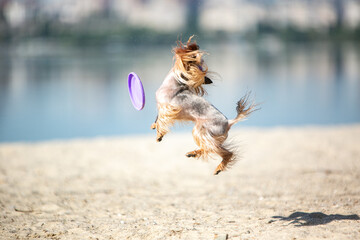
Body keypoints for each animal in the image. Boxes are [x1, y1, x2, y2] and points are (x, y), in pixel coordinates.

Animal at [150, 36, 258, 174]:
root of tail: (229, 122)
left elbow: (161, 120)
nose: (207, 79)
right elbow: (157, 118)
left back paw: (215, 165)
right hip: (210, 135)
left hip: (201, 130)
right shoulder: (163, 108)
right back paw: (195, 154)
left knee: (222, 151)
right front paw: (154, 125)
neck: (174, 84)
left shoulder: (168, 108)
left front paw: (159, 134)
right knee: (212, 147)